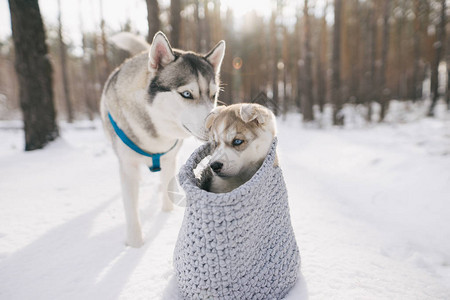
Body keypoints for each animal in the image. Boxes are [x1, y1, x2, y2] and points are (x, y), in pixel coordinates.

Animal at [100, 31, 223, 247]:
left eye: (213, 95)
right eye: (187, 94)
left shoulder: (169, 158)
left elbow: (167, 187)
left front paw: (166, 214)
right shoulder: (128, 166)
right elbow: (131, 207)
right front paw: (135, 243)